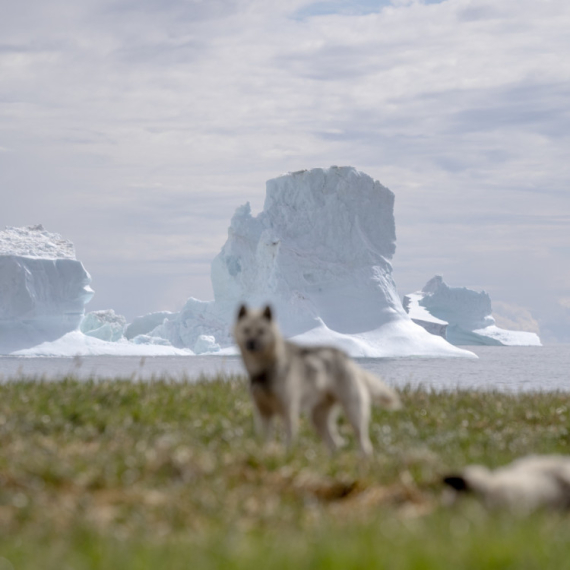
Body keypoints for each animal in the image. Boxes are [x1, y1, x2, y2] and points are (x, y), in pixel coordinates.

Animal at [231, 304, 400, 454]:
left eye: (261, 331)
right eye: (246, 330)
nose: (251, 343)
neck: (265, 370)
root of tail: (347, 360)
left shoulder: (288, 411)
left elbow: (289, 441)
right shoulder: (262, 412)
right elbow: (264, 441)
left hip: (354, 413)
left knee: (364, 445)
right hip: (317, 418)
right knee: (334, 443)